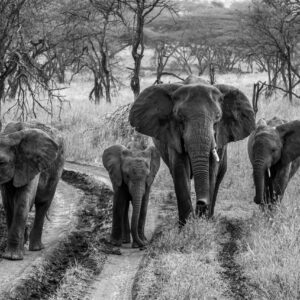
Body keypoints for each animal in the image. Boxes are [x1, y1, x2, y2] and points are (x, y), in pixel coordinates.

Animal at [0, 122, 65, 260]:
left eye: (1, 162)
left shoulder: (31, 164)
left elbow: (22, 202)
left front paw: (12, 257)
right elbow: (8, 204)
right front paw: (12, 254)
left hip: (57, 168)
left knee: (43, 204)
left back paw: (36, 248)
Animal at [129, 79, 255, 225]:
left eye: (218, 117)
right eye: (180, 117)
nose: (201, 202)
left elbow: (212, 170)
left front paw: (203, 223)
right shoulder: (173, 135)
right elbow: (180, 170)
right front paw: (186, 226)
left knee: (218, 177)